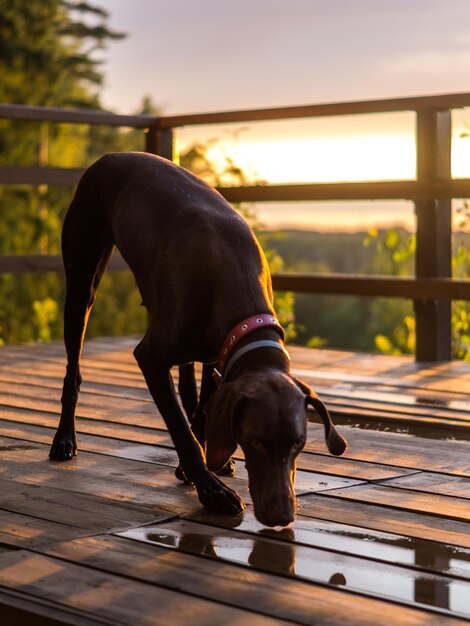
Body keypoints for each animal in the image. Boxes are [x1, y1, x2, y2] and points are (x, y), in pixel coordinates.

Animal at [49, 152, 346, 528]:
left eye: (298, 444)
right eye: (256, 442)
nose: (282, 516)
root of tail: (108, 157)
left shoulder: (220, 353)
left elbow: (204, 410)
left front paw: (206, 462)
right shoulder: (150, 357)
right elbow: (181, 430)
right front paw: (210, 488)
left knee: (191, 386)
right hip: (82, 282)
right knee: (73, 369)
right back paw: (64, 438)